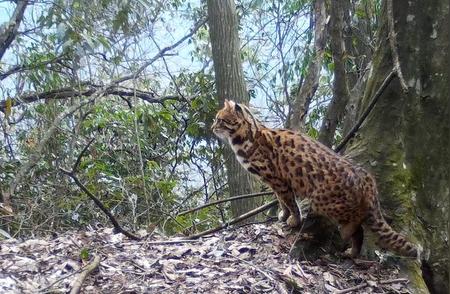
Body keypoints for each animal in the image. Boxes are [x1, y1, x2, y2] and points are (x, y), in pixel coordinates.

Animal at [211, 99, 418, 258]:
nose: (212, 127)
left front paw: (293, 219)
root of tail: (367, 178)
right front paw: (283, 215)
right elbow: (282, 201)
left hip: (323, 201)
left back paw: (348, 240)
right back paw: (352, 252)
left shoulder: (278, 180)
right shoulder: (275, 182)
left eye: (220, 120)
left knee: (356, 226)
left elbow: (289, 202)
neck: (247, 137)